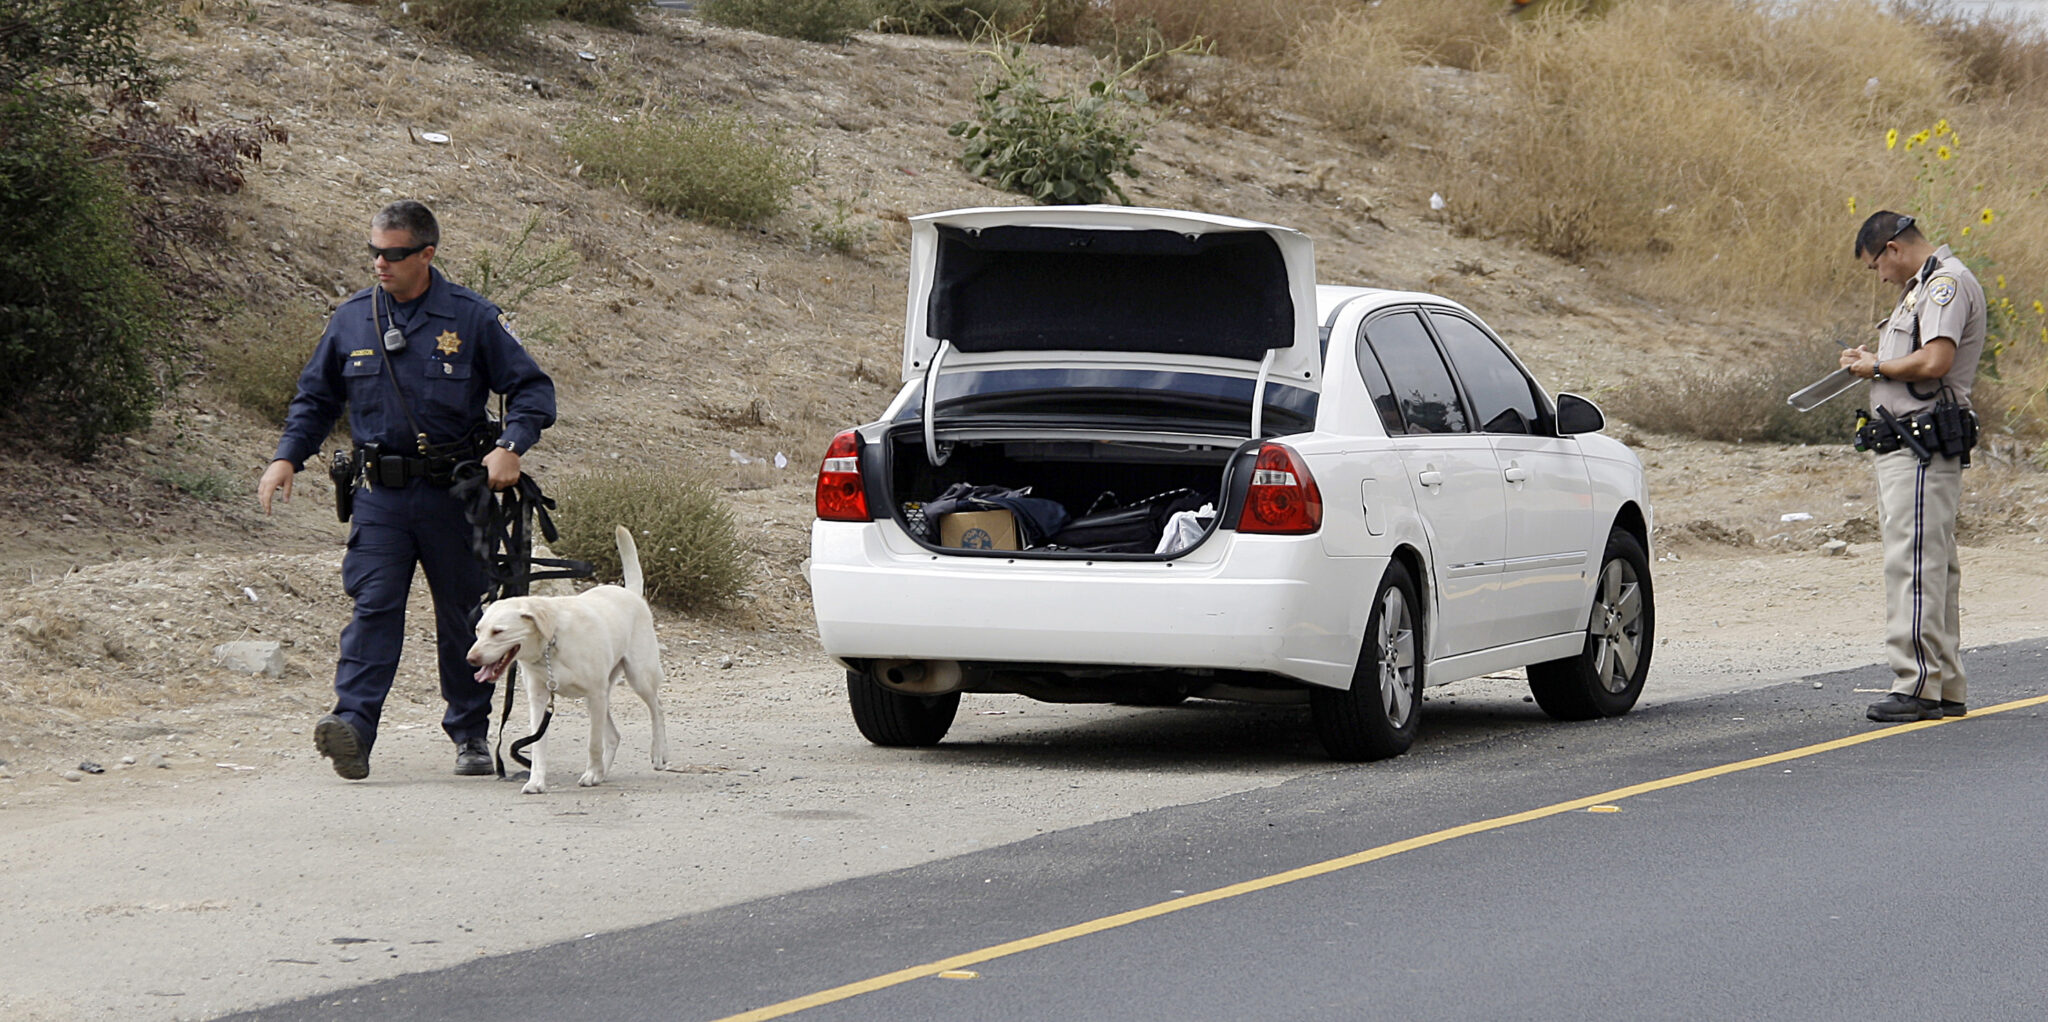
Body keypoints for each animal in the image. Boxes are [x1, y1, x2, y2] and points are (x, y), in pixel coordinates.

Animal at [468, 524, 667, 794]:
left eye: (498, 631)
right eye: (478, 630)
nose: (471, 659)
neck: (552, 643)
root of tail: (631, 593)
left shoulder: (595, 694)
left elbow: (593, 743)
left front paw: (591, 774)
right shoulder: (540, 699)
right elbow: (538, 745)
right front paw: (536, 781)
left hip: (637, 678)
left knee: (657, 708)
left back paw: (657, 754)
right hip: (599, 697)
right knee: (614, 736)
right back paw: (603, 771)